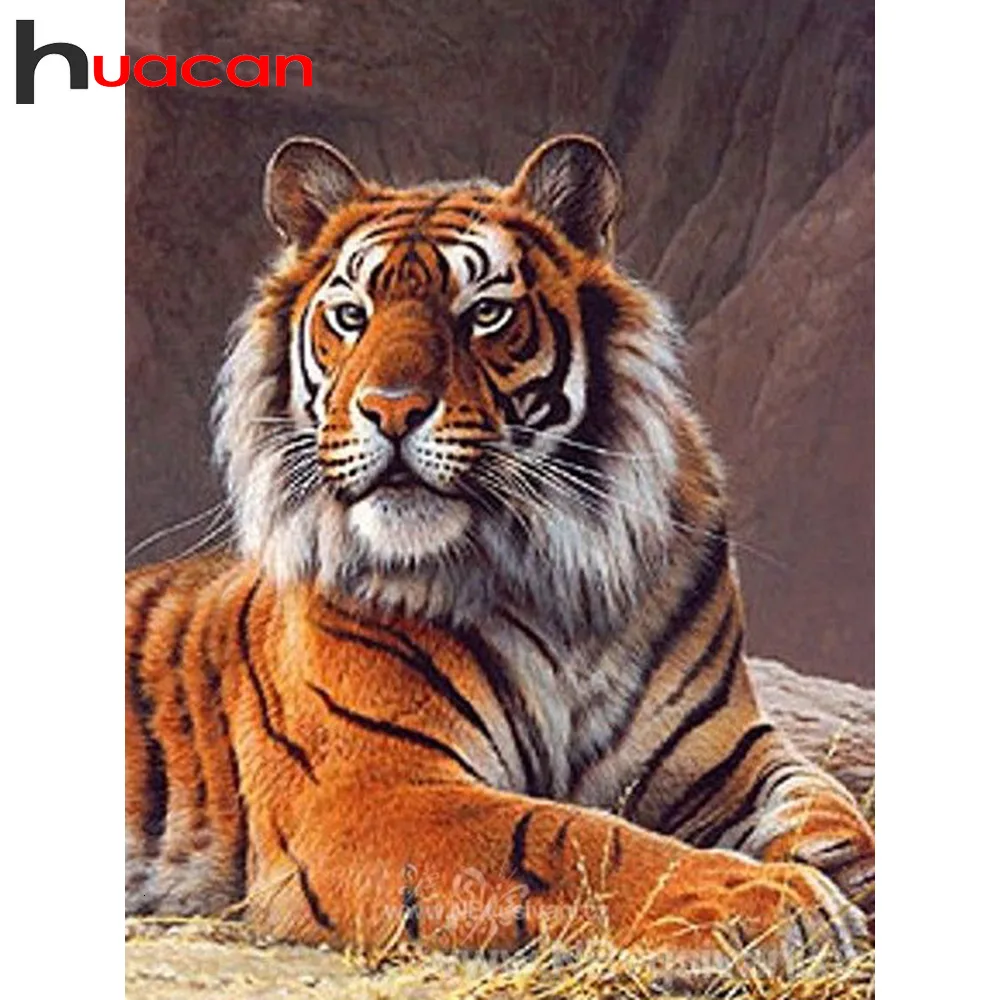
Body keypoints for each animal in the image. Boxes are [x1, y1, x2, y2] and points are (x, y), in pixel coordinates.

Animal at [125, 133, 874, 977]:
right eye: (351, 317)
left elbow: (827, 809)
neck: (558, 572)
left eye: (484, 313)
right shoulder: (369, 792)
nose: (390, 410)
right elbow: (571, 838)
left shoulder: (723, 752)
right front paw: (773, 901)